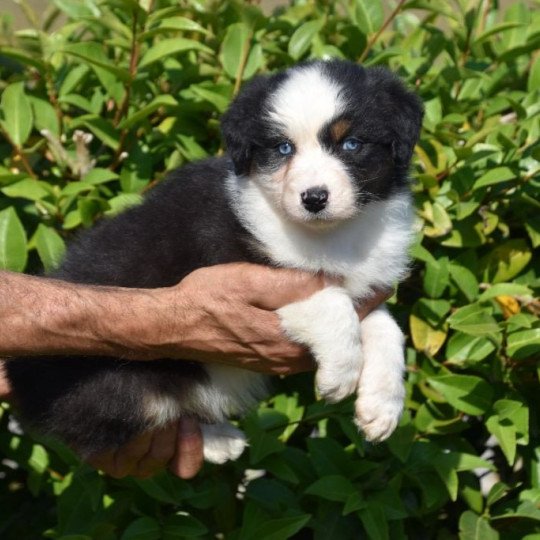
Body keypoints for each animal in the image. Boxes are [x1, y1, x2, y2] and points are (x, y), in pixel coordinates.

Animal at [6, 60, 424, 464]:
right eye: (282, 148)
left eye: (351, 144)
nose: (314, 198)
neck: (330, 234)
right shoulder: (251, 270)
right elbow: (331, 304)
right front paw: (340, 373)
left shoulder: (363, 286)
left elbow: (386, 328)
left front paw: (381, 408)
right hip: (119, 385)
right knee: (123, 424)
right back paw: (218, 440)